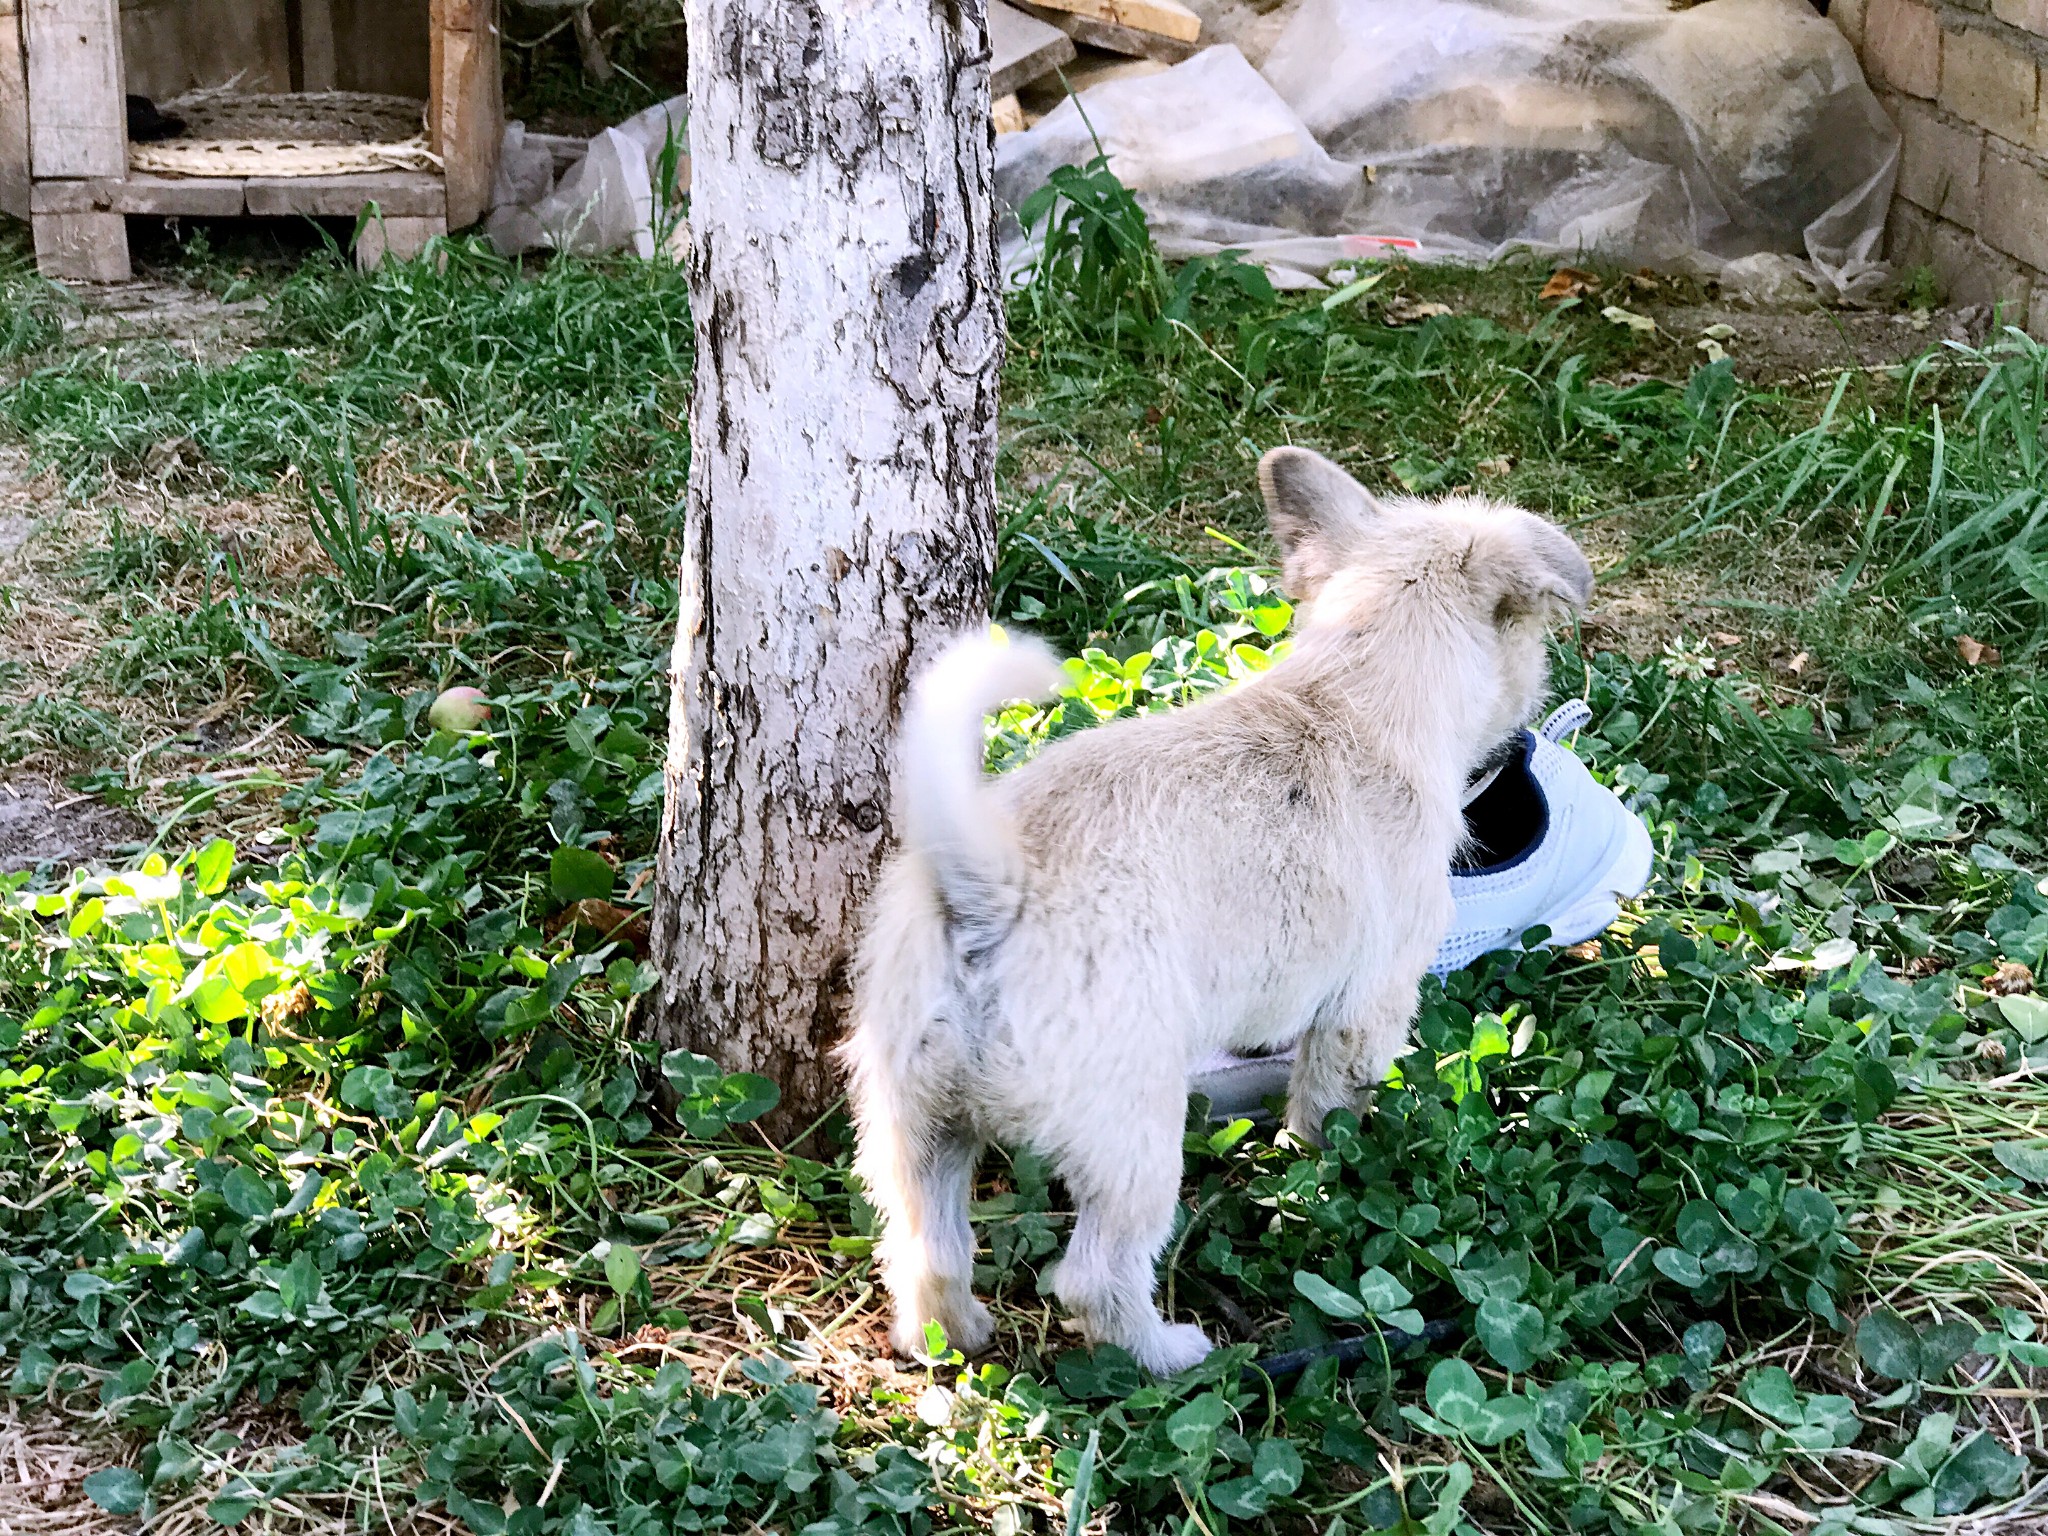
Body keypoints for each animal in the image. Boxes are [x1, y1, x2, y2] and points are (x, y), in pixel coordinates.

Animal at [839, 450, 1589, 1376]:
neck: (1352, 693)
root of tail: (990, 891)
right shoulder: (1364, 1010)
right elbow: (1330, 1114)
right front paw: (1324, 1172)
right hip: (1133, 1137)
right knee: (1093, 1278)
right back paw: (1172, 1355)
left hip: (915, 1120)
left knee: (928, 1252)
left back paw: (954, 1339)